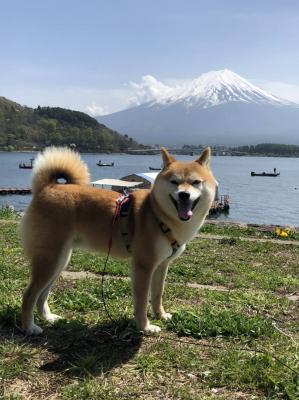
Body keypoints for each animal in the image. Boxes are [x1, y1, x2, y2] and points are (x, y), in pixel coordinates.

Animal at [21, 147, 217, 334]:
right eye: (174, 182)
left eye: (196, 182)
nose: (184, 195)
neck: (158, 214)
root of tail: (47, 187)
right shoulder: (143, 266)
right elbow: (142, 301)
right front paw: (145, 327)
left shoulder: (162, 265)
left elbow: (157, 294)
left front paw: (160, 315)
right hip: (50, 259)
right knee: (29, 295)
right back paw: (30, 327)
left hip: (59, 260)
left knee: (42, 294)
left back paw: (48, 317)